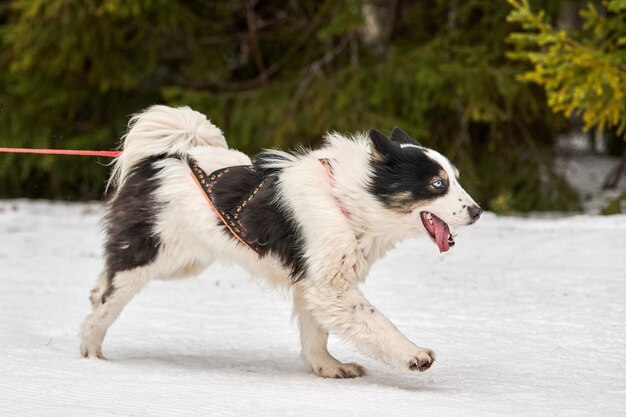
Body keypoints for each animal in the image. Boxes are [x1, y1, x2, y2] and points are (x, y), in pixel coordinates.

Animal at [78, 105, 478, 376]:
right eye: (437, 184)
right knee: (109, 301)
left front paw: (328, 367)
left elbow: (316, 333)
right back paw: (91, 352)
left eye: (456, 179)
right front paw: (413, 354)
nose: (476, 211)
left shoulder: (314, 281)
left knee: (103, 284)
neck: (347, 199)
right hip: (149, 254)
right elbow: (375, 320)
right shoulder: (329, 285)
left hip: (181, 262)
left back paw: (92, 303)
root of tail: (158, 159)